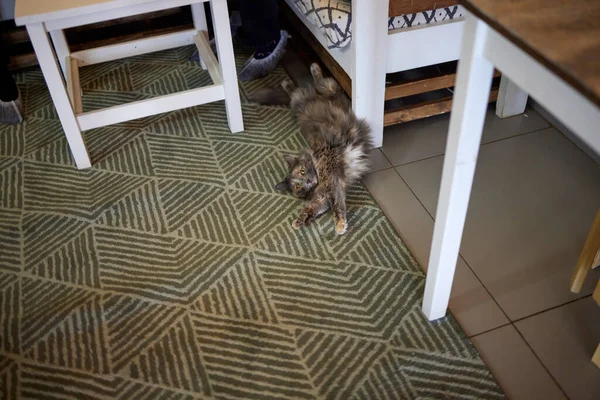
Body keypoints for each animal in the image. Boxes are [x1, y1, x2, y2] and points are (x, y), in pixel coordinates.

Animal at [251, 64, 372, 234]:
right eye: (298, 185)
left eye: (302, 171)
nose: (308, 180)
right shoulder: (322, 195)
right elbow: (311, 208)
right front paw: (299, 221)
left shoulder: (333, 182)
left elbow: (337, 204)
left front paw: (340, 224)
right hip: (302, 101)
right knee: (296, 91)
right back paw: (288, 82)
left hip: (326, 89)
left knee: (316, 82)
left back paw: (311, 69)